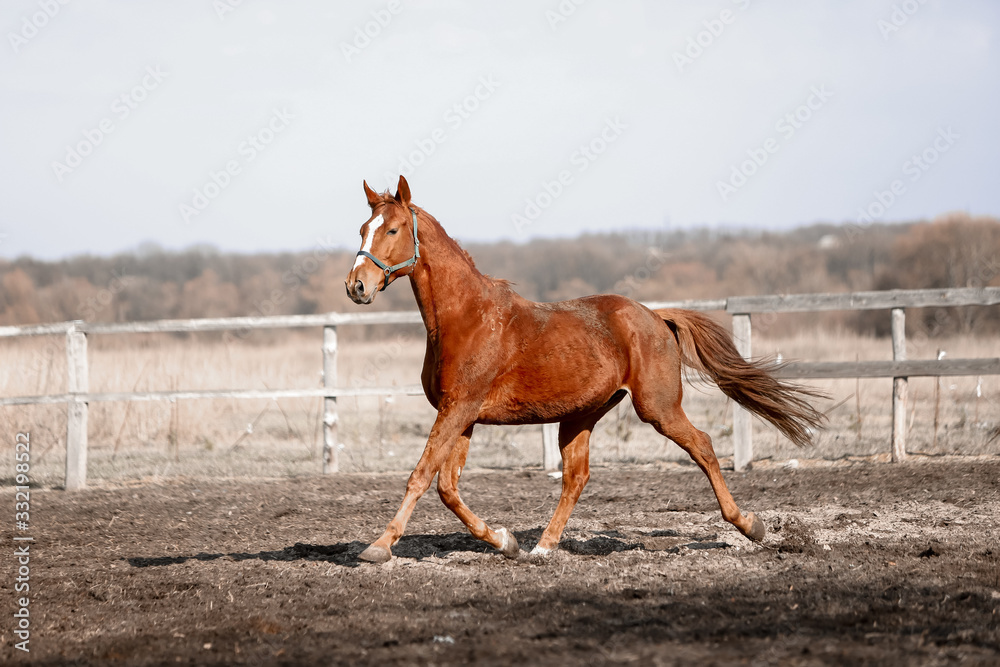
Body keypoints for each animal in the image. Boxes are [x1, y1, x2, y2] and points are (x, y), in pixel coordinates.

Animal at [344, 175, 825, 563]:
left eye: (393, 229)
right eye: (363, 229)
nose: (357, 286)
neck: (466, 318)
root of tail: (655, 317)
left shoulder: (459, 410)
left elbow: (421, 476)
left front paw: (378, 548)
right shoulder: (461, 415)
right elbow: (447, 487)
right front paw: (506, 542)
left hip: (657, 408)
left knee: (702, 446)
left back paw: (751, 526)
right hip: (580, 416)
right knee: (576, 477)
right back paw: (542, 547)